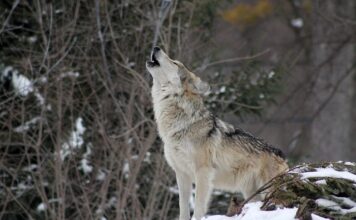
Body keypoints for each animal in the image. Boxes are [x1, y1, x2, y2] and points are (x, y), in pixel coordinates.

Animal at [146, 47, 288, 219]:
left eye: (175, 62)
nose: (156, 47)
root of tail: (281, 154)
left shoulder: (203, 172)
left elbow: (198, 208)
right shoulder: (181, 174)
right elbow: (183, 208)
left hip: (267, 190)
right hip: (251, 193)